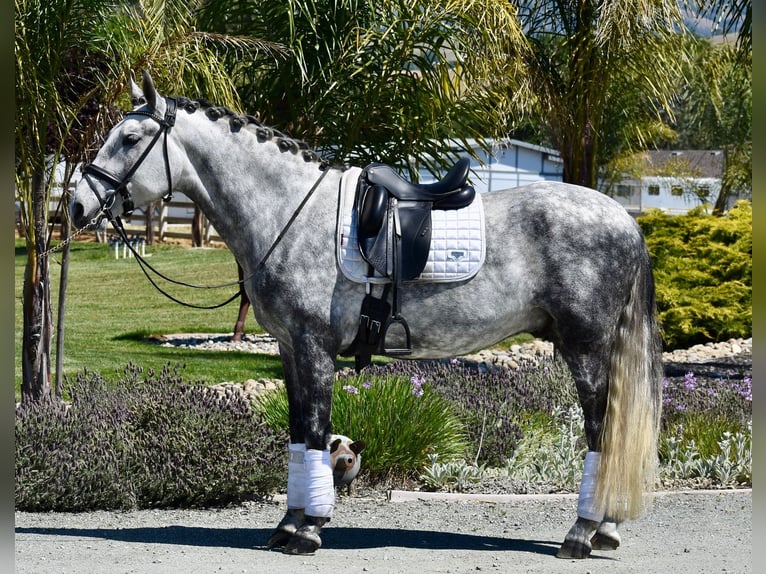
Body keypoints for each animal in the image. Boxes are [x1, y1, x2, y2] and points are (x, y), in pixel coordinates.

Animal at [71, 71, 663, 559]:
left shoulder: (314, 348)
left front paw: (308, 531)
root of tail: (623, 219)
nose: (78, 205)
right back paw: (605, 528)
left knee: (601, 429)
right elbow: (297, 434)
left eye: (129, 139)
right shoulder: (290, 349)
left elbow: (314, 431)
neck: (290, 213)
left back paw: (581, 534)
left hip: (585, 349)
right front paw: (288, 524)